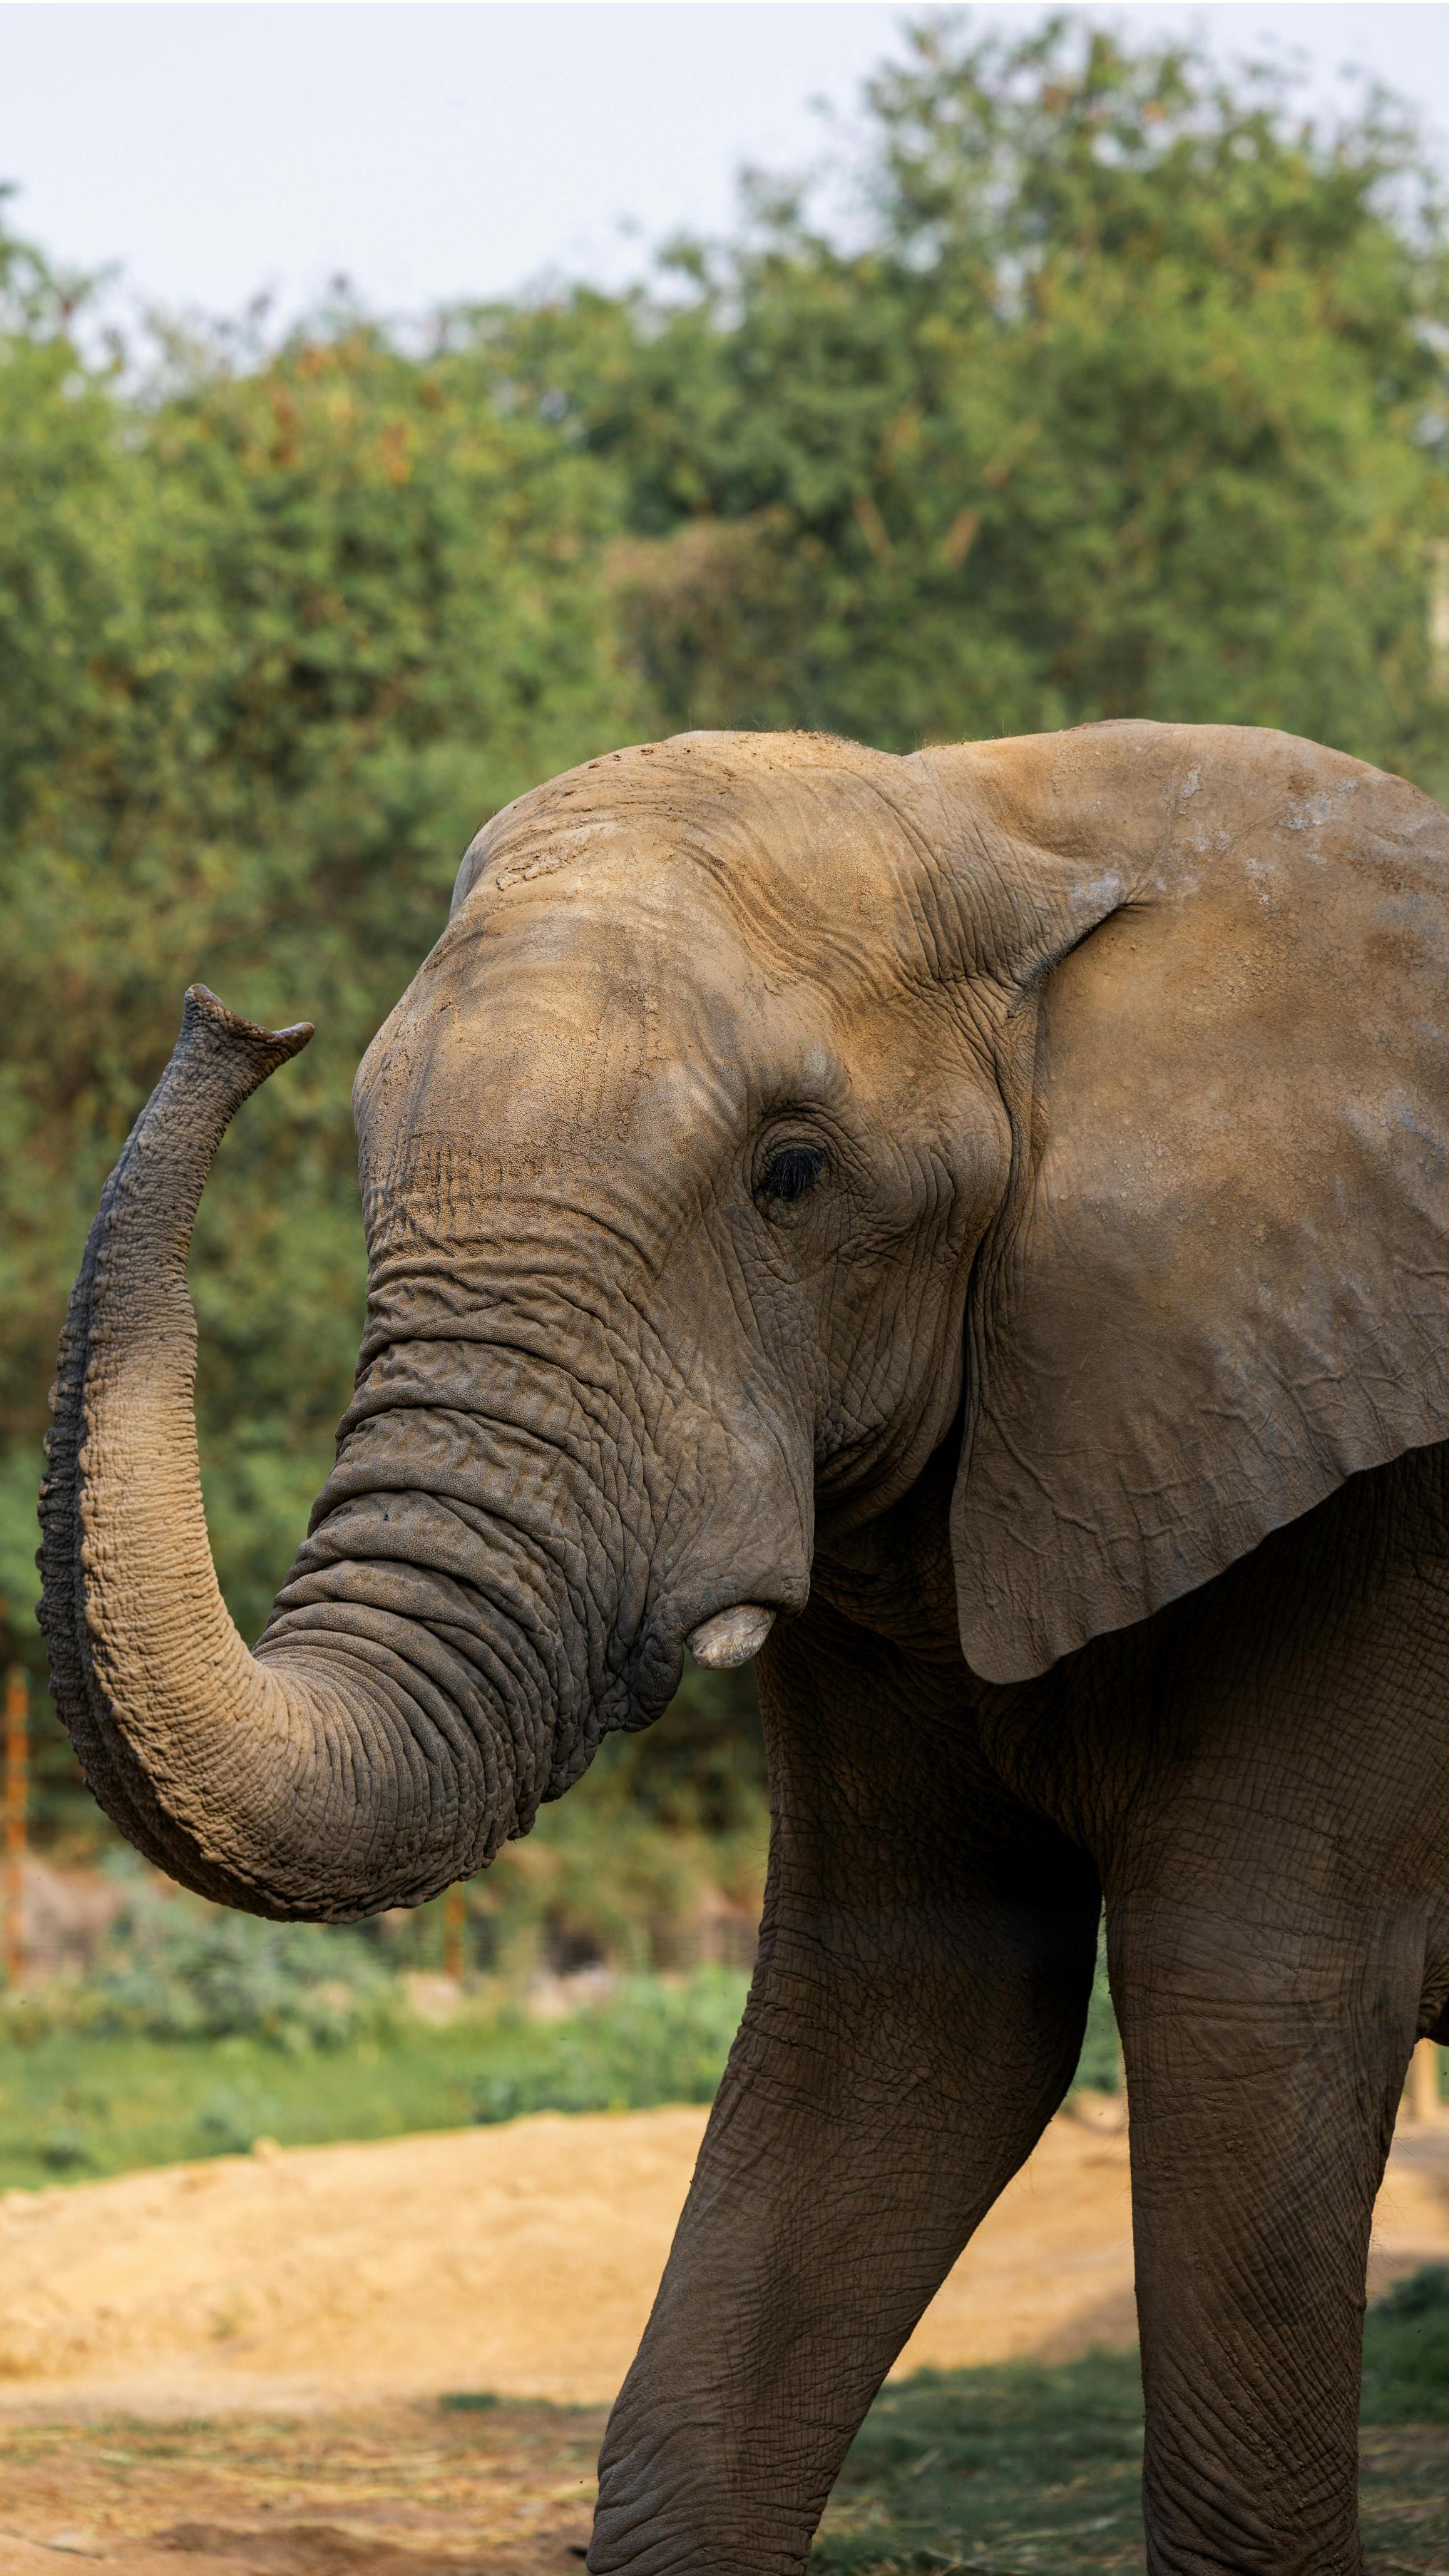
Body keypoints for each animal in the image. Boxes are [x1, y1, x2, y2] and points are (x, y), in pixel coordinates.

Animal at [37, 716, 1449, 2574]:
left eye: (792, 1176)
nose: (238, 1022)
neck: (1026, 824)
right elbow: (900, 2026)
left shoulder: (1379, 1508)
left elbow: (1246, 1996)